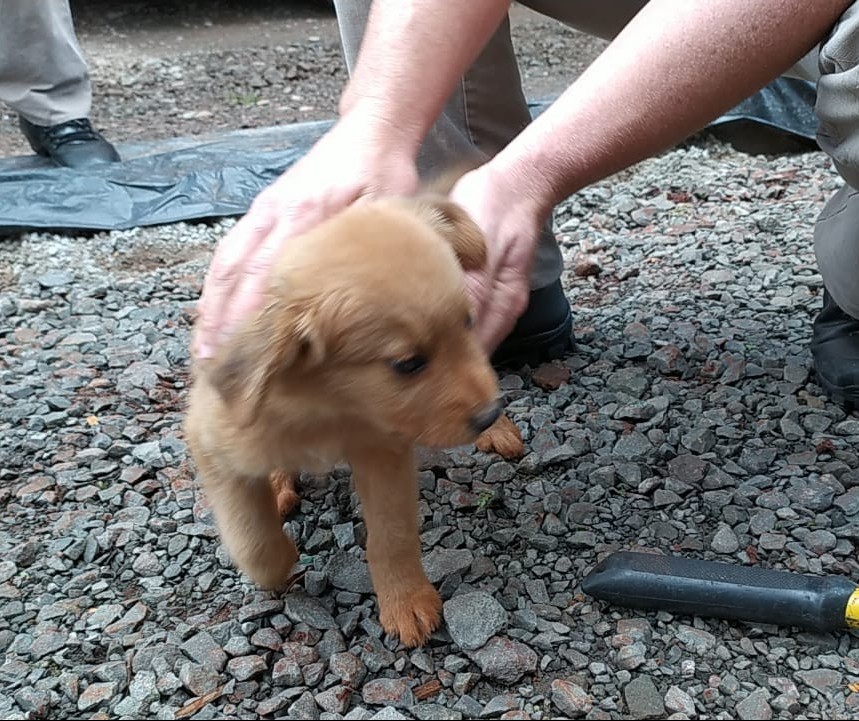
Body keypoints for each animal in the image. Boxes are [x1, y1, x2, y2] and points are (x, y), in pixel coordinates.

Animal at [186, 193, 508, 648]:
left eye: (468, 322)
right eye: (408, 363)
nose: (489, 413)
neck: (332, 405)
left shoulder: (384, 452)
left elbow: (392, 534)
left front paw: (405, 600)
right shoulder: (213, 445)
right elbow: (251, 537)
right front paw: (279, 563)